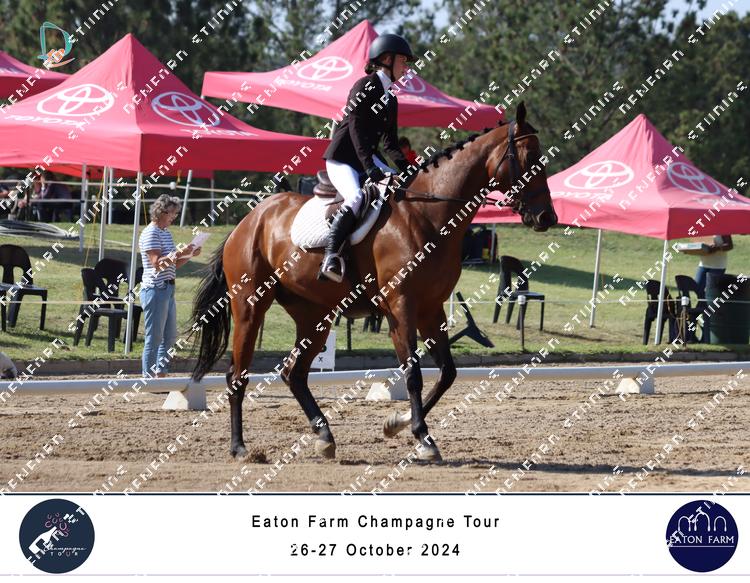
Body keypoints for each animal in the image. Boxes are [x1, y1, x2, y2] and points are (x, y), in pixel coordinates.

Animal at [191, 102, 557, 462]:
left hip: (314, 314)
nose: (547, 218)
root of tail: (248, 220)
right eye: (528, 158)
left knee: (293, 373)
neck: (427, 215)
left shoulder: (431, 309)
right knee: (237, 375)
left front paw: (397, 423)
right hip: (250, 305)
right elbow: (413, 374)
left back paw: (325, 438)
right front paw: (422, 438)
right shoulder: (401, 306)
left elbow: (447, 372)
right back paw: (240, 447)